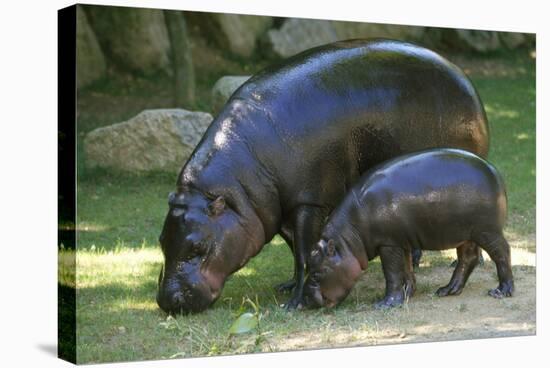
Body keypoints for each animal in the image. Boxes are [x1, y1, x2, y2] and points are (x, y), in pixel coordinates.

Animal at [157, 38, 490, 314]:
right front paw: (288, 287)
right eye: (161, 240)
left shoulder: (309, 201)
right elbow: (295, 249)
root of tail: (462, 75)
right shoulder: (279, 209)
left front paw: (293, 304)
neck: (237, 189)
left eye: (198, 247)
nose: (167, 301)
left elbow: (305, 251)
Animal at [304, 148, 516, 310]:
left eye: (316, 273)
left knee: (502, 252)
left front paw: (385, 304)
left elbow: (391, 273)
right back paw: (446, 290)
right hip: (466, 234)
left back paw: (501, 291)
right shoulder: (401, 242)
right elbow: (405, 270)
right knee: (468, 259)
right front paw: (407, 294)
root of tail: (493, 170)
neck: (348, 239)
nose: (303, 302)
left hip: (486, 231)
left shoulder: (388, 243)